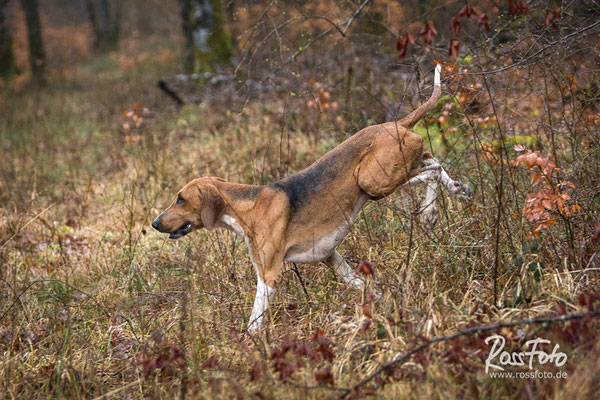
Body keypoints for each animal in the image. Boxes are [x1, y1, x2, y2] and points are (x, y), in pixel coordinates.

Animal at [152, 66, 472, 332]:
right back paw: (455, 190)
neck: (247, 207)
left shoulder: (269, 276)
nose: (154, 223)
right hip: (385, 178)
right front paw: (383, 304)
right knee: (433, 160)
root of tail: (397, 123)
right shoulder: (329, 256)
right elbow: (364, 285)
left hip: (372, 182)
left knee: (432, 169)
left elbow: (254, 322)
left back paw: (431, 211)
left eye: (180, 199)